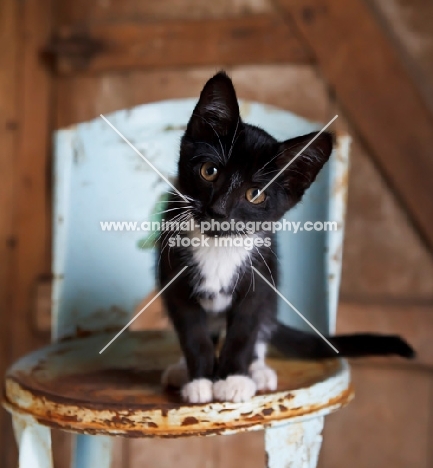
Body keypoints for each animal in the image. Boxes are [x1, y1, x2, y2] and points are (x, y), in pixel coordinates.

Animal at [157, 71, 414, 404]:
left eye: (255, 194)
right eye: (209, 171)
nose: (218, 211)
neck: (219, 246)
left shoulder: (259, 281)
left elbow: (244, 333)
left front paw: (233, 379)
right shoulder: (174, 280)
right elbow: (193, 334)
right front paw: (200, 380)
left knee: (262, 329)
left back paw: (257, 371)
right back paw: (182, 369)